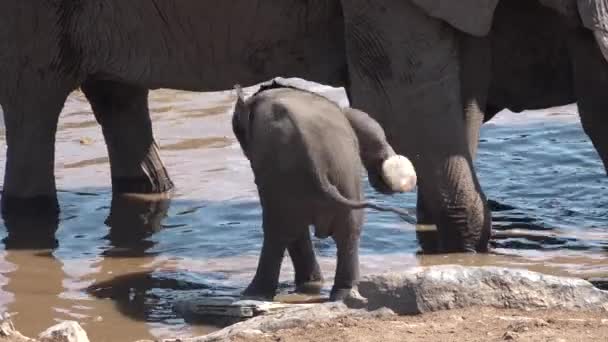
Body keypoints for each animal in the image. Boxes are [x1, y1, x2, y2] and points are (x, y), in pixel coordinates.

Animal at [230, 81, 416, 300]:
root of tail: (315, 161)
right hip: (341, 173)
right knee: (349, 230)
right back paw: (341, 292)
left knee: (277, 232)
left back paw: (253, 294)